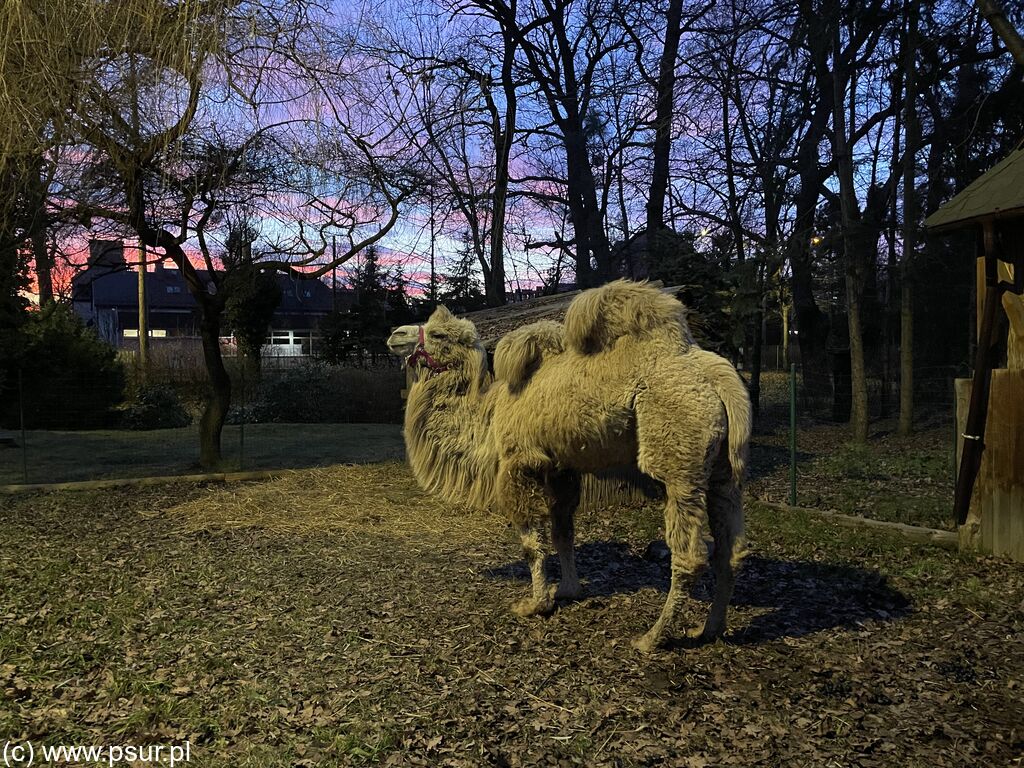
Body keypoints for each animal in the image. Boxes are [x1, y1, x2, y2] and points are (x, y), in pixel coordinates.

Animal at [385, 280, 753, 651]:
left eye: (438, 334)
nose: (395, 333)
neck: (490, 412)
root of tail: (720, 380)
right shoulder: (561, 468)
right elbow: (563, 533)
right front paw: (567, 590)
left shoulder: (520, 463)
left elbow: (531, 543)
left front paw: (536, 604)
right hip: (722, 470)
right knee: (730, 548)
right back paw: (710, 629)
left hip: (679, 461)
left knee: (690, 554)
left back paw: (652, 638)